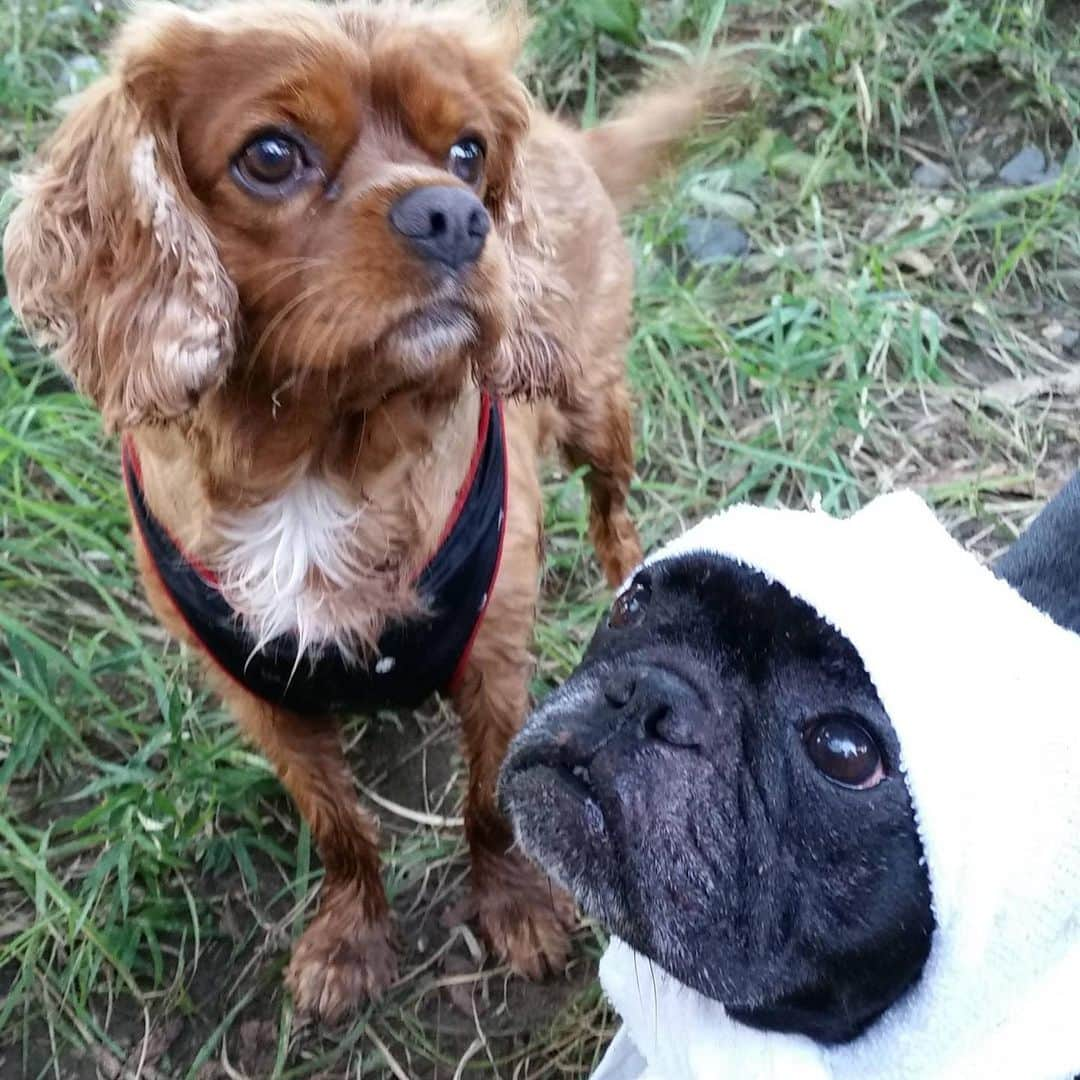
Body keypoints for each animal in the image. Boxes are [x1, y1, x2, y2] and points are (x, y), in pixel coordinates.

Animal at [2, 0, 743, 1019]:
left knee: (609, 504)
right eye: (271, 155)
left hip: (596, 405)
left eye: (468, 152)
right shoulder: (262, 702)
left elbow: (487, 803)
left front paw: (515, 908)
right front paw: (350, 942)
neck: (320, 463)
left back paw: (626, 572)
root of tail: (565, 133)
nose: (457, 214)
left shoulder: (494, 662)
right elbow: (340, 829)